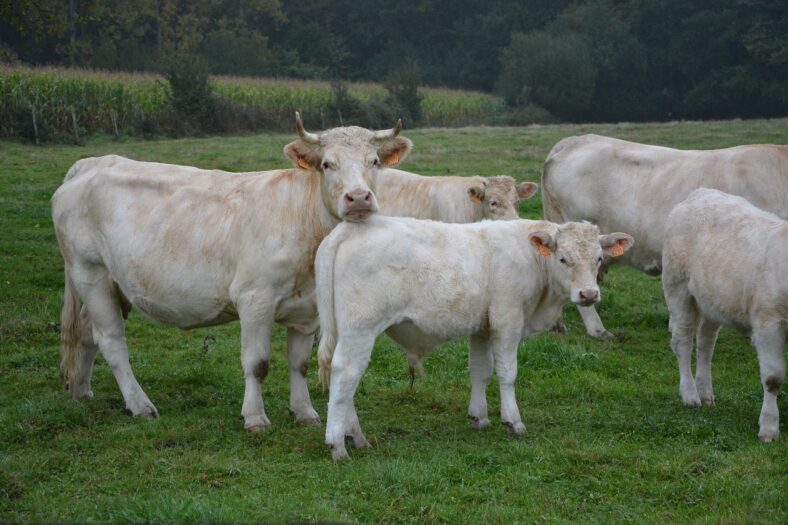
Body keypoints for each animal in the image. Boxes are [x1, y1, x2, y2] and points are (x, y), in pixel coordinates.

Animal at [50, 113, 412, 430]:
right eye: (327, 164)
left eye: (374, 161)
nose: (359, 198)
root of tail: (92, 163)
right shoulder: (254, 299)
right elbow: (257, 363)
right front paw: (254, 418)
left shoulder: (307, 309)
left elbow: (299, 363)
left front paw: (305, 412)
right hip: (90, 271)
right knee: (111, 340)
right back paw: (140, 405)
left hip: (111, 283)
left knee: (87, 332)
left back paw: (81, 391)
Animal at [314, 215, 636, 456]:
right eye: (563, 259)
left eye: (598, 258)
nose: (588, 294)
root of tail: (348, 229)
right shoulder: (508, 321)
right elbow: (507, 372)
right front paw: (513, 421)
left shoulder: (482, 328)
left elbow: (480, 371)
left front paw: (478, 416)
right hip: (360, 328)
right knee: (346, 373)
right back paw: (337, 443)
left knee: (341, 374)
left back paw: (355, 436)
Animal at [660, 188, 784, 442]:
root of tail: (700, 193)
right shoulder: (769, 323)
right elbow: (773, 378)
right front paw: (769, 427)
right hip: (677, 287)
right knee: (683, 340)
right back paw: (690, 394)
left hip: (713, 301)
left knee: (706, 343)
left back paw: (705, 391)